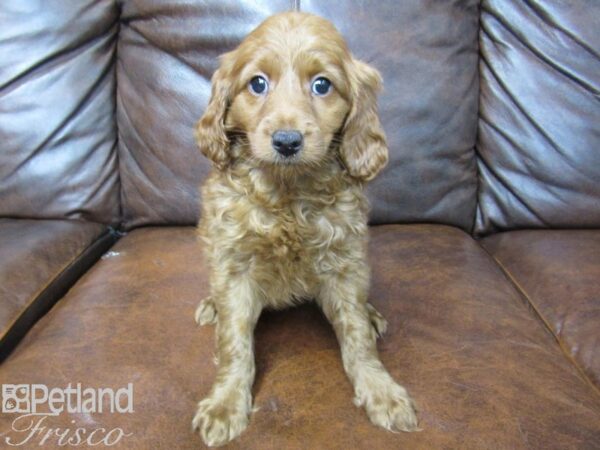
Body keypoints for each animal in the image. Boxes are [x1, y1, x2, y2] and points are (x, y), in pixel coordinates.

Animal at [192, 11, 418, 446]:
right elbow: (234, 341)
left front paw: (380, 390)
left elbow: (355, 334)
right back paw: (211, 305)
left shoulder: (344, 261)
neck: (288, 193)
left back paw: (372, 314)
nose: (286, 141)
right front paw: (226, 403)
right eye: (257, 83)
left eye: (322, 85)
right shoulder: (235, 263)